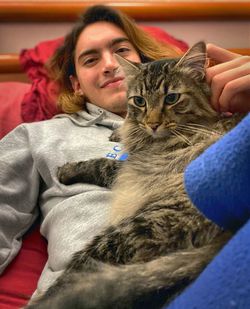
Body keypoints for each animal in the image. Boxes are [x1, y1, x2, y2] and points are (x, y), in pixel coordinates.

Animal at [25, 41, 242, 308]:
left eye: (172, 98)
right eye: (139, 101)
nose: (153, 124)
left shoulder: (135, 162)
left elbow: (101, 164)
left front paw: (67, 171)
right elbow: (122, 136)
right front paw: (118, 132)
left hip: (129, 231)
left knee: (74, 278)